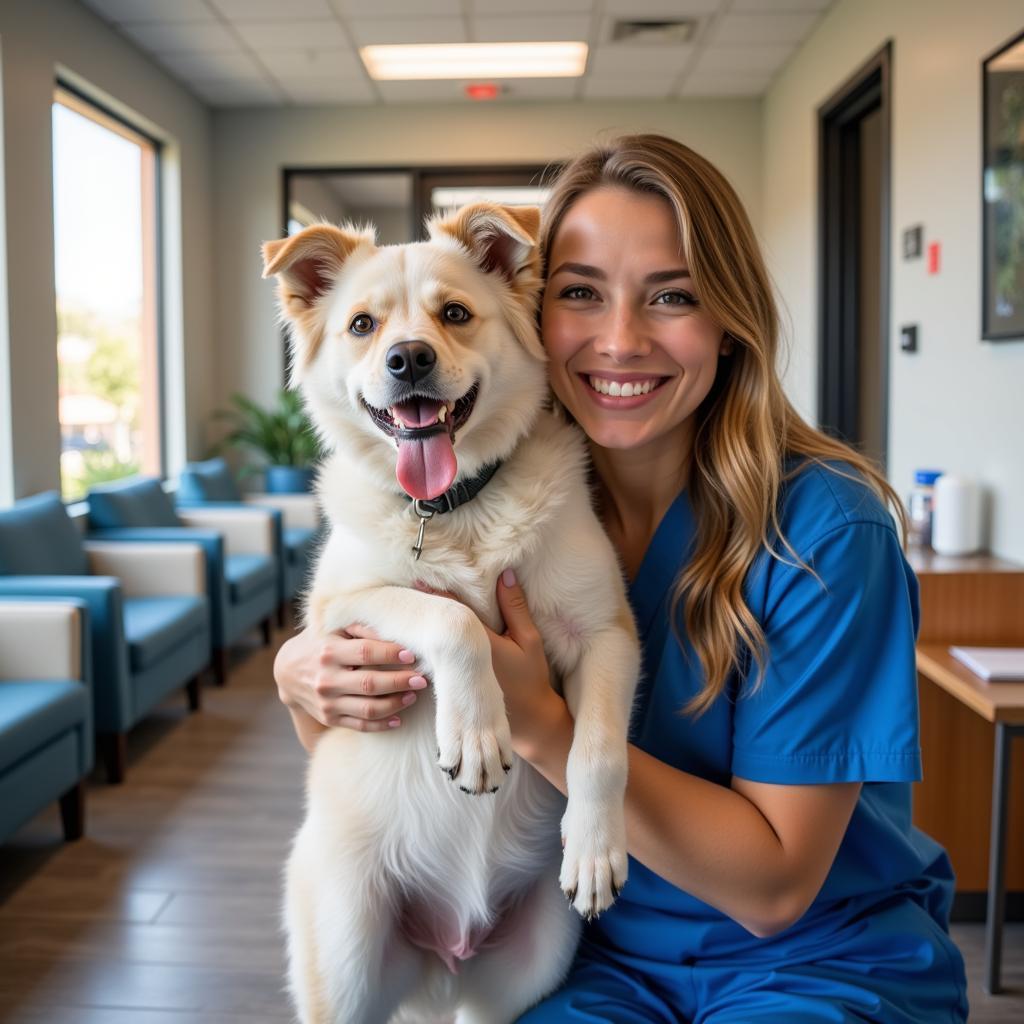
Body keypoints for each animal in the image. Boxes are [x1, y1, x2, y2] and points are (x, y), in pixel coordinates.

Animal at [260, 201, 634, 1024]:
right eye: (362, 325)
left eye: (455, 314)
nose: (408, 360)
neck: (454, 510)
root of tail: (446, 956)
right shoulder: (338, 614)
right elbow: (451, 619)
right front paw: (476, 732)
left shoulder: (607, 635)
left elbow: (599, 751)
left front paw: (596, 848)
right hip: (347, 967)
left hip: (526, 972)